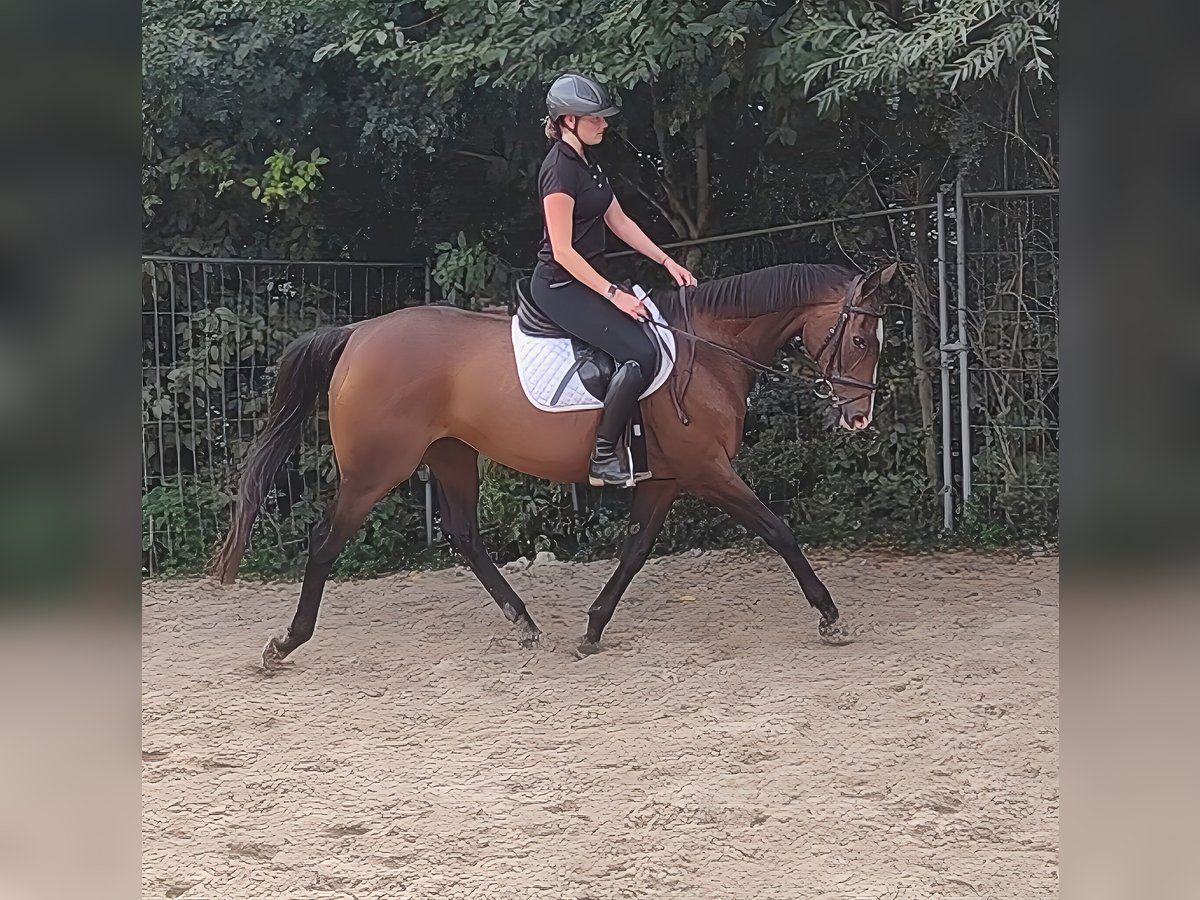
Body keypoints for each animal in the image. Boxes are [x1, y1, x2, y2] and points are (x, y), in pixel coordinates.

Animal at [213, 260, 898, 667]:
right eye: (861, 338)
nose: (859, 418)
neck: (708, 350)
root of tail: (359, 333)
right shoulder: (707, 470)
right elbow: (777, 529)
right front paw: (830, 616)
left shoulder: (667, 479)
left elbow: (635, 550)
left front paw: (592, 628)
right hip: (375, 470)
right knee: (326, 541)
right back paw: (287, 642)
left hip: (452, 454)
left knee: (464, 535)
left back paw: (523, 622)